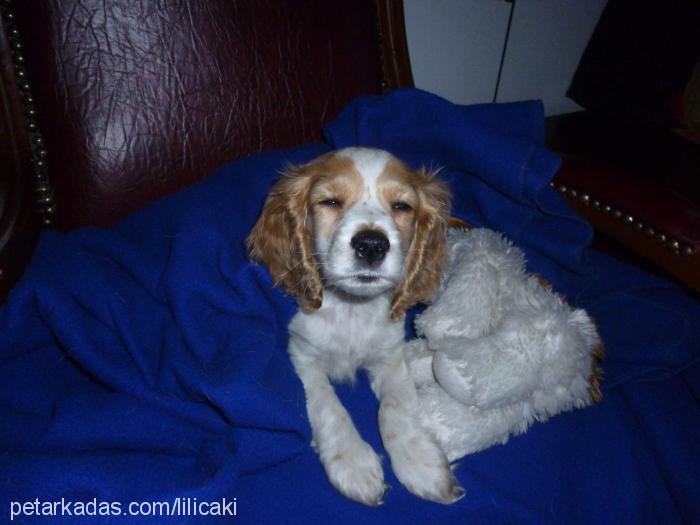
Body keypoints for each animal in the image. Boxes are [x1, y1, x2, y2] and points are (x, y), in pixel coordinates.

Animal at [247, 145, 464, 506]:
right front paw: (353, 465)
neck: (352, 308)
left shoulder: (391, 358)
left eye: (401, 206)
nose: (372, 244)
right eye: (331, 201)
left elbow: (394, 408)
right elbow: (328, 406)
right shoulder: (303, 358)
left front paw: (421, 463)